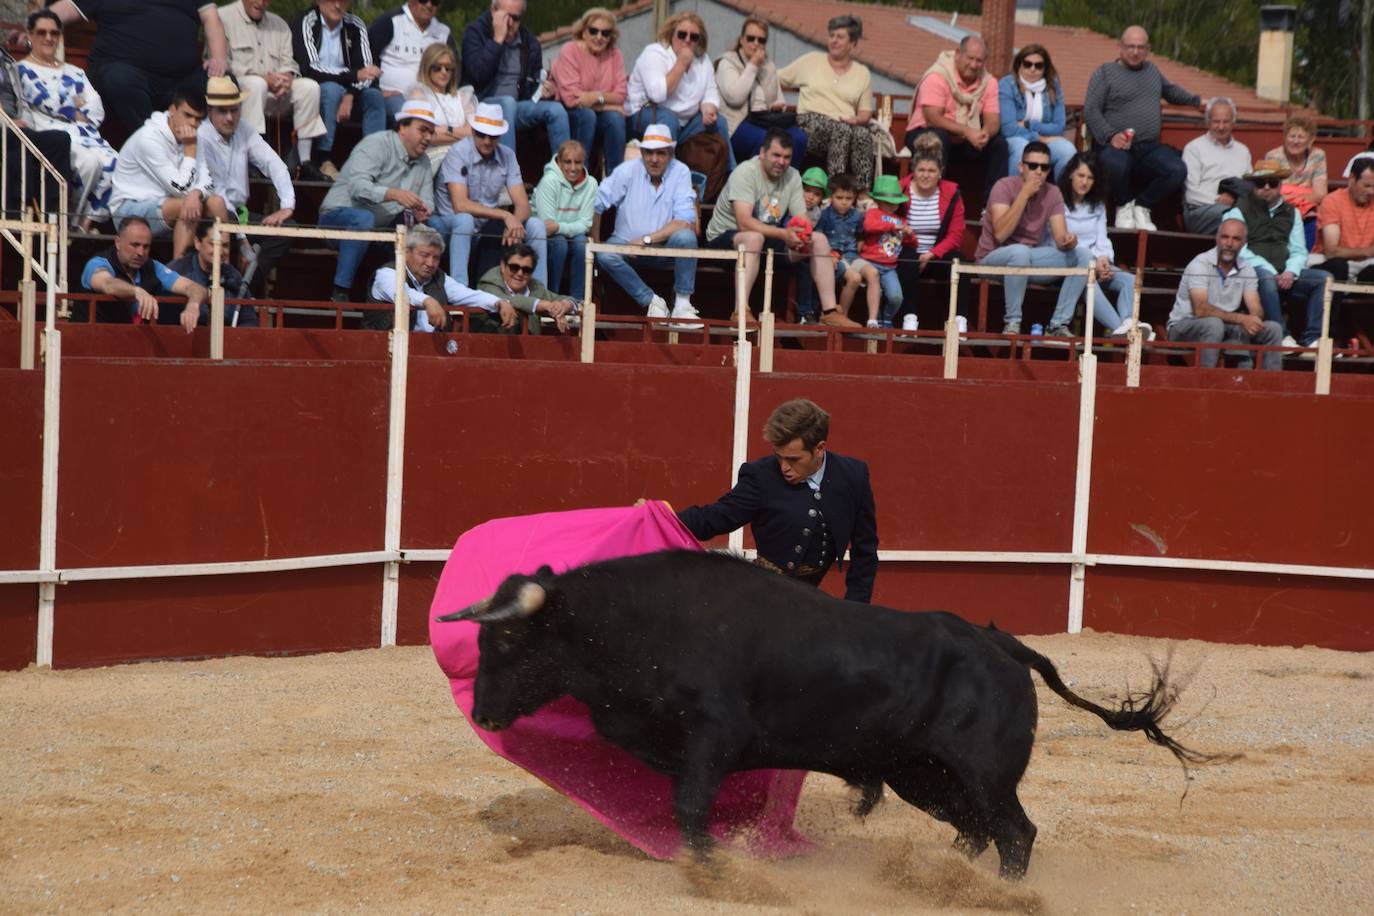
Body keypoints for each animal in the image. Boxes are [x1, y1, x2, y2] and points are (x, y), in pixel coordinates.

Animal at [434, 549, 1220, 878]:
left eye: (508, 638)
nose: (487, 713)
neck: (634, 621)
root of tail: (1000, 644)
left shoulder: (715, 737)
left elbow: (689, 807)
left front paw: (714, 870)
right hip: (920, 775)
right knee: (975, 829)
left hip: (985, 773)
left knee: (1015, 832)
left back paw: (999, 892)